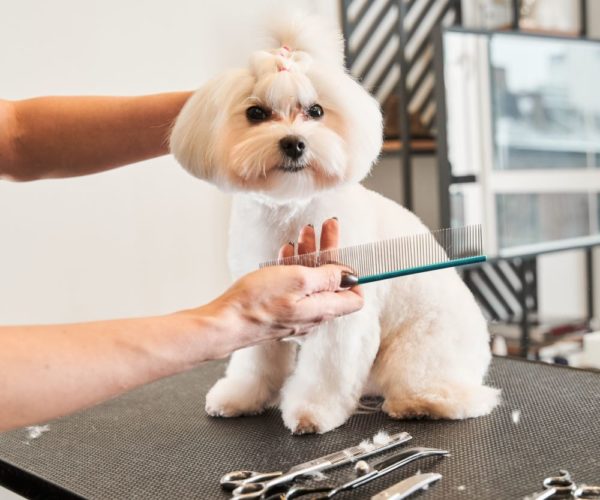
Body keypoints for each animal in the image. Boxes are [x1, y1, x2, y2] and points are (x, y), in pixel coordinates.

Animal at [169, 13, 496, 432]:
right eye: (256, 113)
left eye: (316, 111)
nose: (294, 143)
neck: (291, 207)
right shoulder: (260, 297)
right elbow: (255, 359)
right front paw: (242, 396)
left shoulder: (345, 310)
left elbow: (326, 368)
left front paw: (312, 411)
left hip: (423, 345)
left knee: (455, 392)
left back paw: (420, 402)